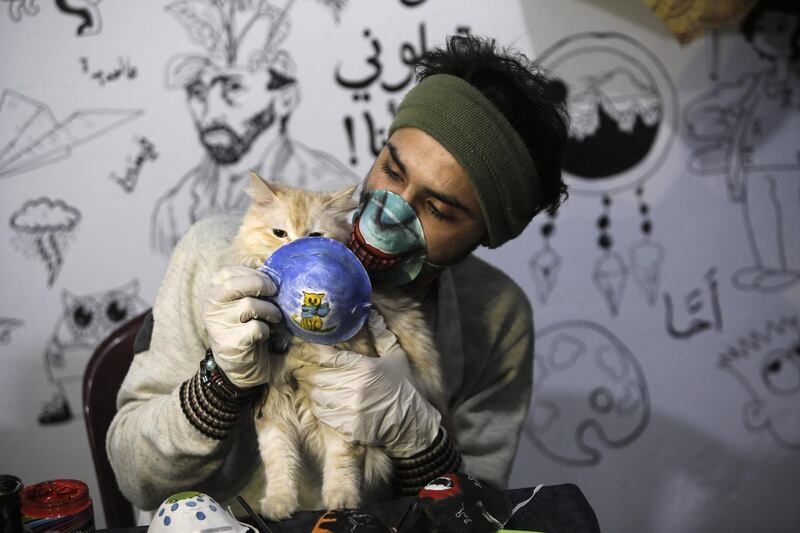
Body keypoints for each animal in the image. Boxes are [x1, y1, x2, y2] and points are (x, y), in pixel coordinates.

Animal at [231, 175, 446, 520]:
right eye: (279, 233)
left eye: (315, 236)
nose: (295, 252)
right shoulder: (272, 411)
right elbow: (280, 463)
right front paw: (279, 504)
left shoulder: (344, 415)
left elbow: (341, 464)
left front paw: (340, 501)